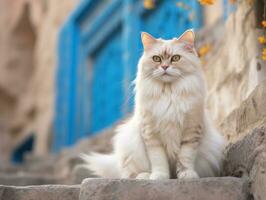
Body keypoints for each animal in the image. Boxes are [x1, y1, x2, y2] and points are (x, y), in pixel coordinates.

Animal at [82, 29, 225, 180]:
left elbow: (185, 158)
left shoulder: (191, 131)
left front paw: (187, 175)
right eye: (156, 59)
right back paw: (145, 176)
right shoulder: (151, 134)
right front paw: (159, 177)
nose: (165, 67)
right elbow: (158, 160)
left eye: (175, 58)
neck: (169, 93)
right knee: (129, 174)